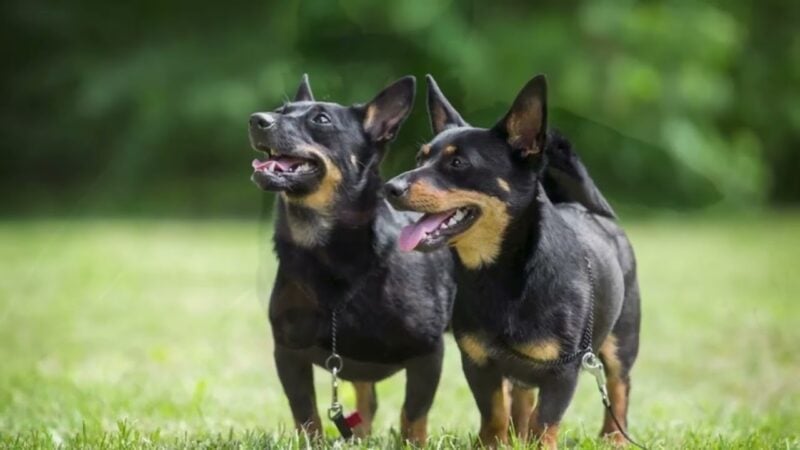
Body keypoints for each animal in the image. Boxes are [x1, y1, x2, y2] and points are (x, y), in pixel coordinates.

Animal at [247, 74, 454, 442]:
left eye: (321, 119)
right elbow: (307, 415)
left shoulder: (428, 353)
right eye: (281, 110)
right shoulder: (288, 353)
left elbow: (413, 416)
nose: (257, 119)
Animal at [384, 75, 640, 448]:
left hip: (622, 340)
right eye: (421, 157)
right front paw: (493, 443)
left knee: (620, 388)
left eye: (458, 164)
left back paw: (614, 437)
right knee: (521, 399)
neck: (500, 274)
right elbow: (494, 414)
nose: (390, 187)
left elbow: (544, 423)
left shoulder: (563, 371)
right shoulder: (479, 364)